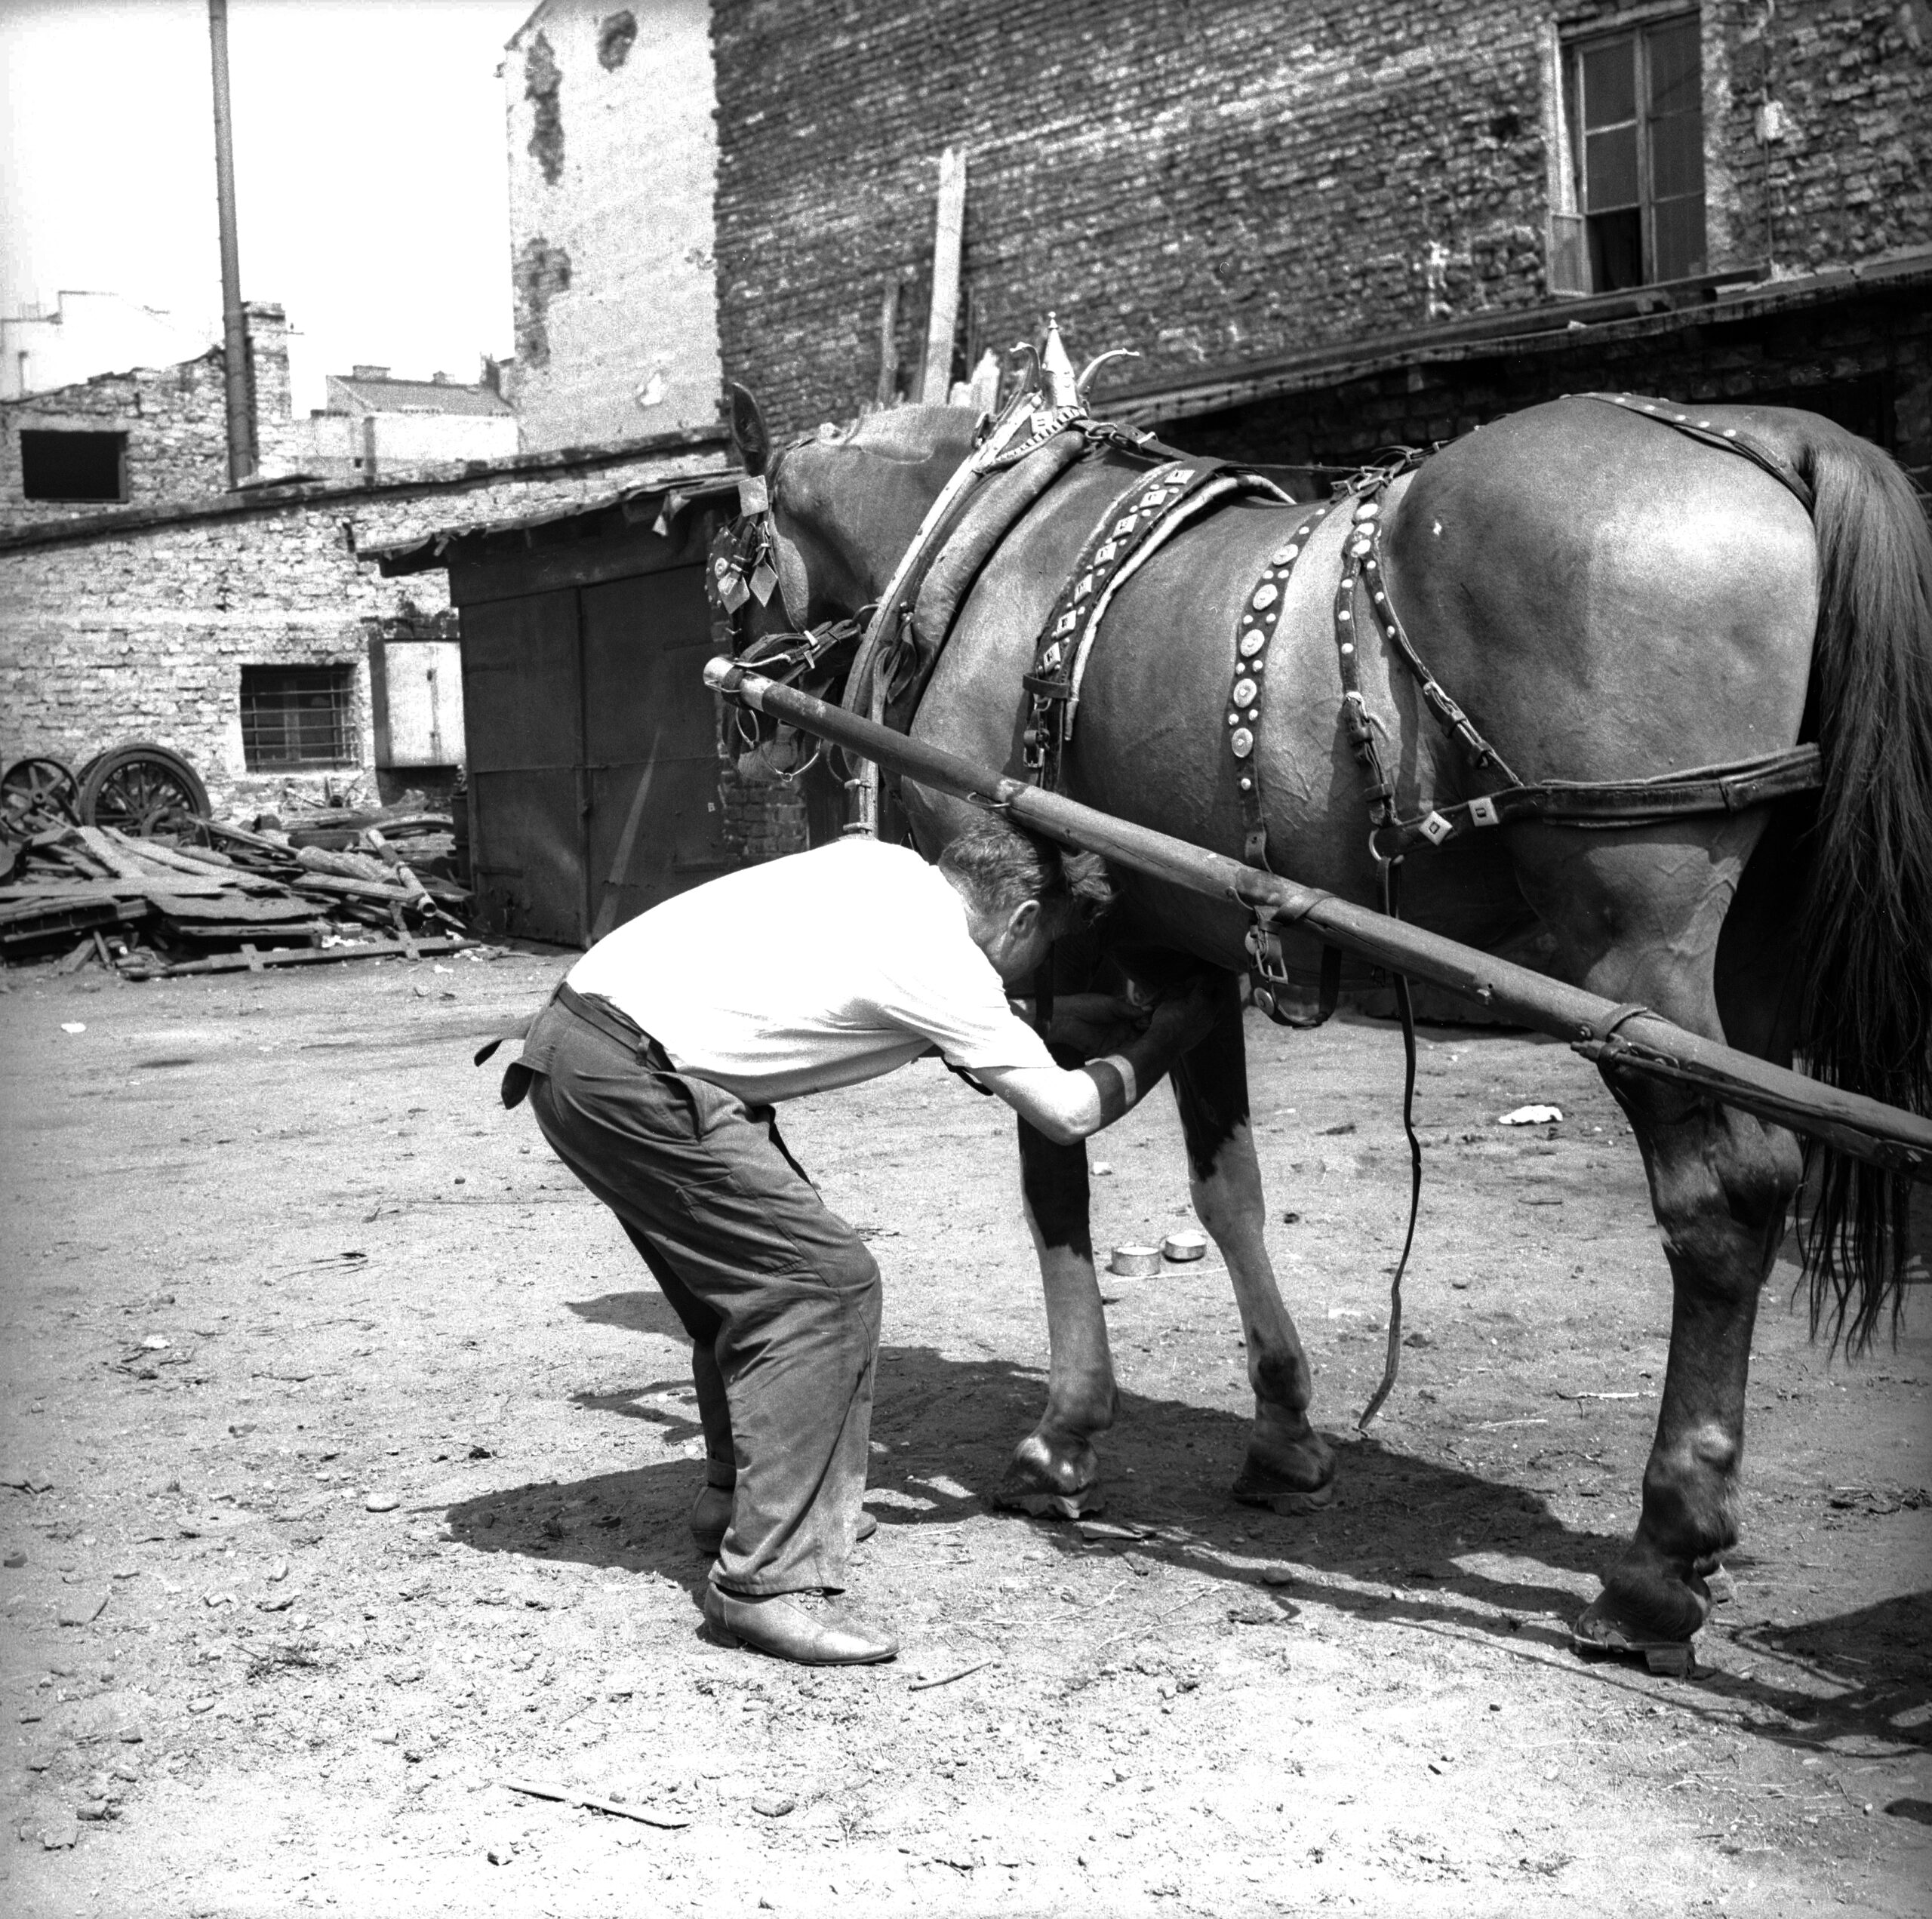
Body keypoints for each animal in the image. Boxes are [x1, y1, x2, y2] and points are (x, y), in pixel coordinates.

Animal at [711, 367, 1932, 1654]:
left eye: (729, 557)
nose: (740, 731)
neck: (985, 549)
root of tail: (1767, 434)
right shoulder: (1191, 936)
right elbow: (1228, 1189)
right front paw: (1284, 1432)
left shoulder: (1039, 955)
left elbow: (1056, 1179)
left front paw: (1063, 1435)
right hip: (1754, 955)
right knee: (1770, 1169)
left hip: (1633, 952)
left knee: (1723, 1198)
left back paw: (1660, 1554)